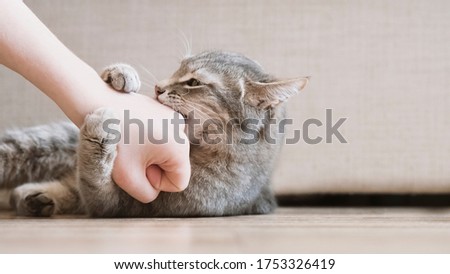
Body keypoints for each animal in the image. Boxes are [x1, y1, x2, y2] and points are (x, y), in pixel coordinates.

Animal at [0, 50, 310, 218]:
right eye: (177, 68)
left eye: (194, 82)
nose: (159, 87)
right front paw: (120, 74)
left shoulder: (121, 204)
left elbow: (93, 179)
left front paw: (99, 135)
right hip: (41, 144)